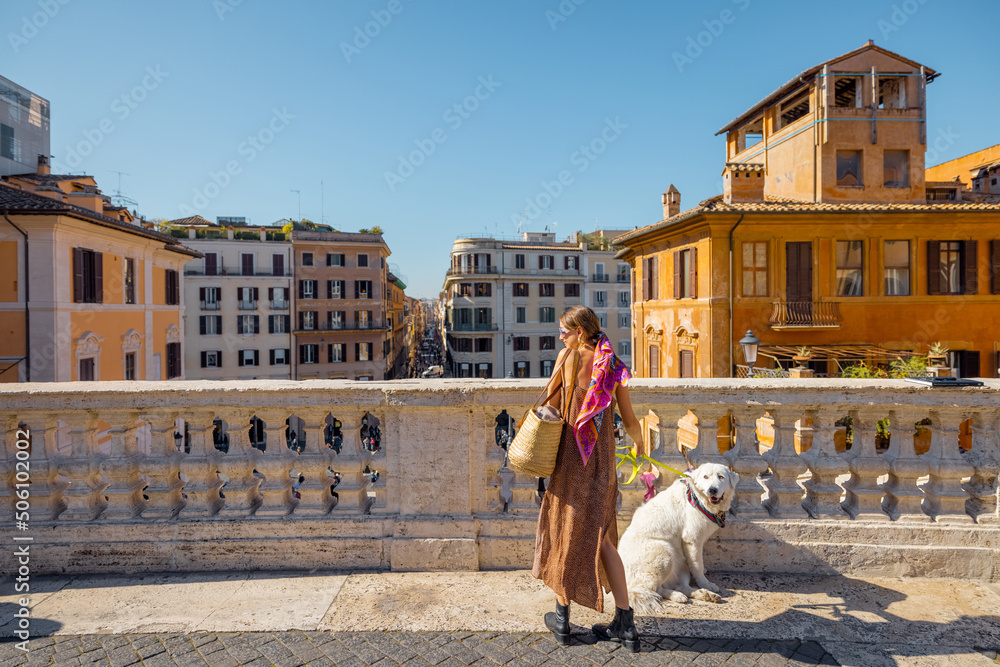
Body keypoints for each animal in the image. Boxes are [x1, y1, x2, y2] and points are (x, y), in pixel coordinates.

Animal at [620, 462, 740, 612]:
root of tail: (627, 585)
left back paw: (704, 595)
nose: (712, 490)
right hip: (664, 551)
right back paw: (680, 595)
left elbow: (697, 565)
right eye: (705, 477)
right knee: (653, 589)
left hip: (680, 563)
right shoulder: (692, 540)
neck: (697, 498)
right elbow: (698, 566)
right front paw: (705, 583)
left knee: (680, 586)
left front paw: (705, 585)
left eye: (721, 477)